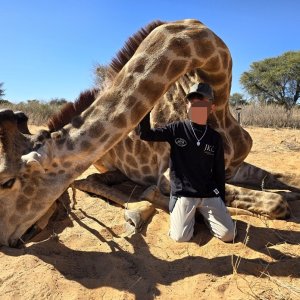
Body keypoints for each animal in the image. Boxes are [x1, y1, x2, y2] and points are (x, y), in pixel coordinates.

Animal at [0, 19, 298, 247]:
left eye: (6, 182)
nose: (6, 240)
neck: (221, 106)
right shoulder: (169, 175)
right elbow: (276, 201)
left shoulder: (235, 166)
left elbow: (286, 181)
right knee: (87, 181)